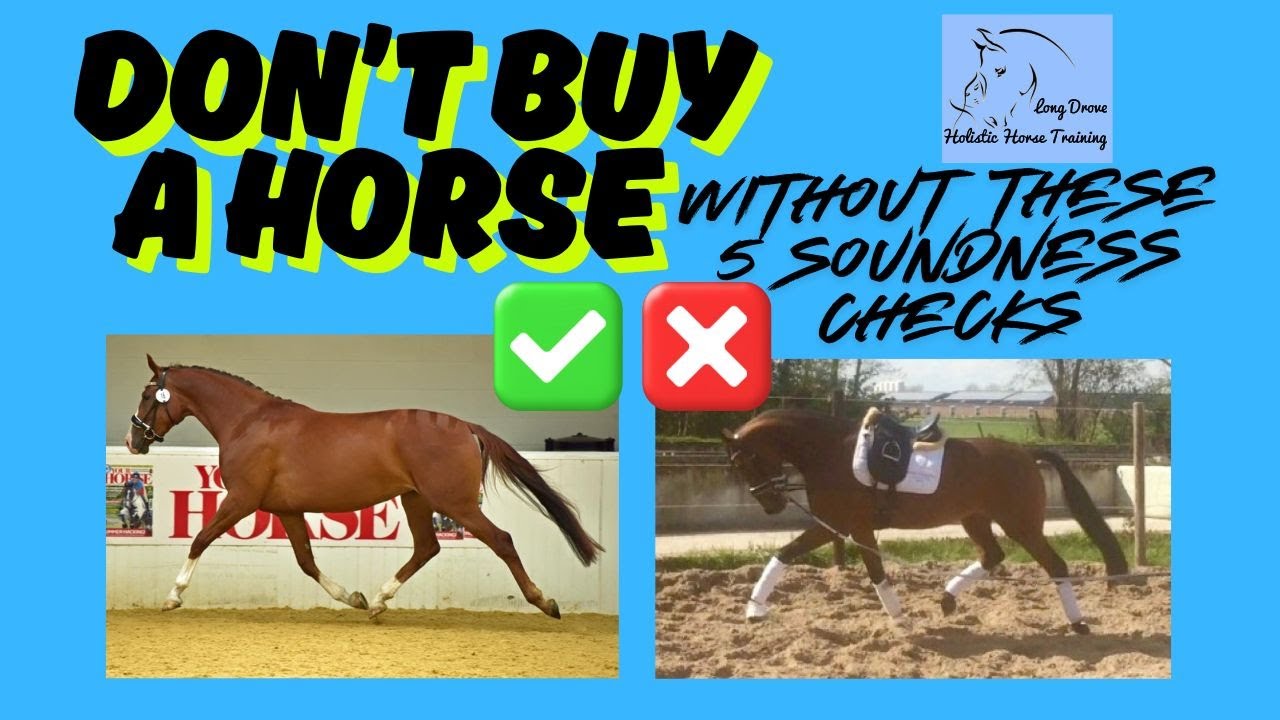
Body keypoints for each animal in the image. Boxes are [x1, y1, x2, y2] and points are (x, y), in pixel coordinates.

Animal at [124, 354, 603, 619]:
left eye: (148, 395)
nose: (133, 441)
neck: (249, 423)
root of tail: (465, 425)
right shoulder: (286, 509)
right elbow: (305, 561)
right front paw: (351, 597)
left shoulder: (241, 500)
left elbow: (200, 538)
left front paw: (172, 597)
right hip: (416, 499)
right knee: (427, 547)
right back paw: (377, 601)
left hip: (455, 503)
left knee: (501, 540)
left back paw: (545, 602)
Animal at [721, 407, 1128, 635]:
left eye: (743, 461)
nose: (771, 505)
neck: (829, 453)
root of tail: (1026, 454)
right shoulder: (851, 528)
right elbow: (871, 571)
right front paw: (900, 618)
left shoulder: (837, 524)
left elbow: (790, 554)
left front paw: (754, 610)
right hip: (975, 519)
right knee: (992, 556)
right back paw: (947, 600)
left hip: (1021, 525)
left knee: (1054, 565)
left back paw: (1078, 623)